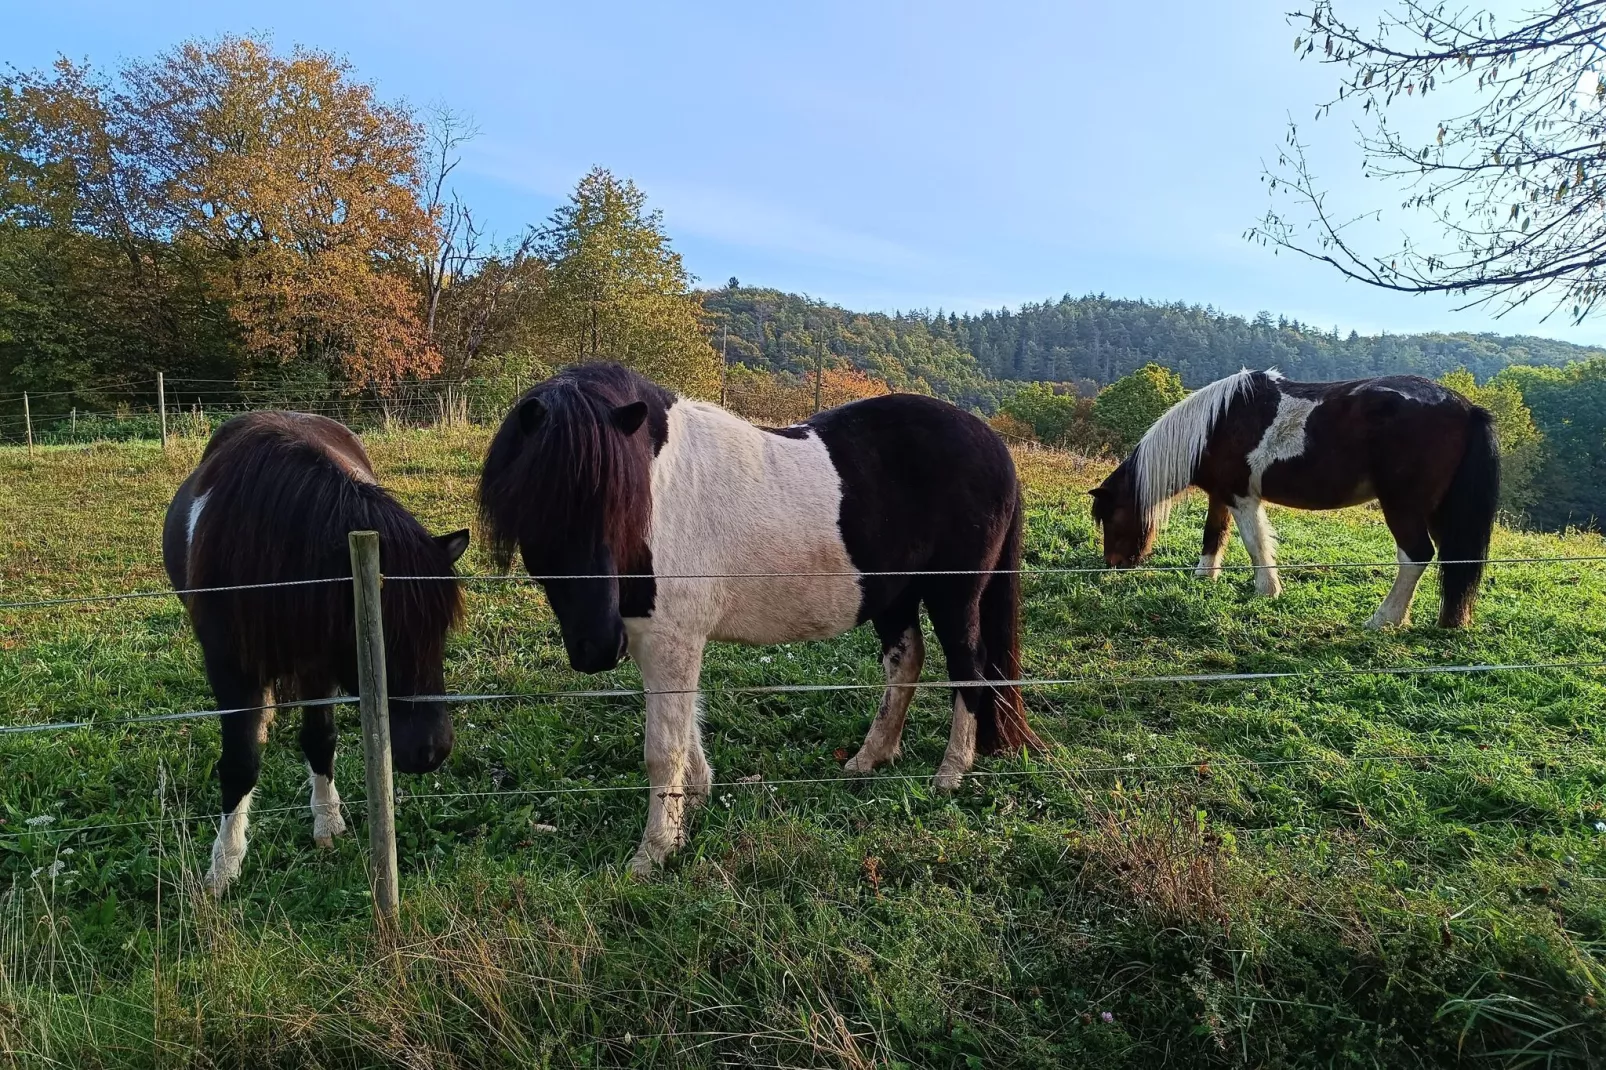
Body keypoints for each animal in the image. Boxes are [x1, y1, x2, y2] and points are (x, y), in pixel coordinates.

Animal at [160, 411, 468, 886]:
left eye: (440, 634)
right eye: (378, 631)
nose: (432, 751)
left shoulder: (317, 664)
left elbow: (320, 739)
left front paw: (327, 821)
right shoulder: (229, 667)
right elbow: (240, 764)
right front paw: (224, 865)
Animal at [475, 363, 1040, 873]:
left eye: (619, 506)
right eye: (537, 513)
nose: (595, 649)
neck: (661, 491)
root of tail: (992, 442)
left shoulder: (670, 638)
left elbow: (663, 747)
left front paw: (654, 852)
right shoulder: (649, 637)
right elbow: (686, 725)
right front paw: (693, 802)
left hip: (954, 595)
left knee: (969, 668)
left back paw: (950, 773)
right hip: (893, 596)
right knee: (906, 662)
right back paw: (869, 759)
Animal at [1085, 371, 1496, 629]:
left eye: (1113, 518)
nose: (1114, 567)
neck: (1216, 425)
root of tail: (1467, 408)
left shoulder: (1242, 496)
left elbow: (1254, 543)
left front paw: (1267, 590)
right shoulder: (1222, 495)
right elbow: (1213, 534)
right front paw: (1205, 575)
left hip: (1403, 507)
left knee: (1416, 556)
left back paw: (1384, 620)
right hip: (1440, 512)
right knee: (1452, 560)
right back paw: (1449, 620)